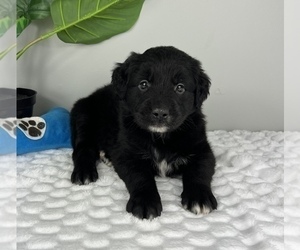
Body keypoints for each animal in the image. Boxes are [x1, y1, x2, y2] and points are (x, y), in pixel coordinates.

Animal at [72, 46, 219, 219]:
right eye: (143, 84)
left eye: (180, 87)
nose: (160, 113)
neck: (160, 138)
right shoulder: (128, 154)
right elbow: (140, 177)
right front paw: (145, 202)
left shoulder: (202, 149)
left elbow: (199, 171)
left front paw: (199, 198)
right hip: (83, 115)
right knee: (83, 148)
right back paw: (84, 172)